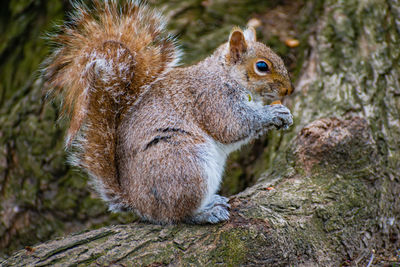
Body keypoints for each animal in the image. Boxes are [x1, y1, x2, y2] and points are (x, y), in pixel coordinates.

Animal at [43, 1, 294, 225]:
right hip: (183, 164)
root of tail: (135, 201)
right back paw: (206, 212)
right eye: (262, 66)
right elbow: (231, 126)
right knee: (176, 214)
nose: (288, 90)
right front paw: (272, 113)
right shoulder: (212, 98)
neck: (226, 75)